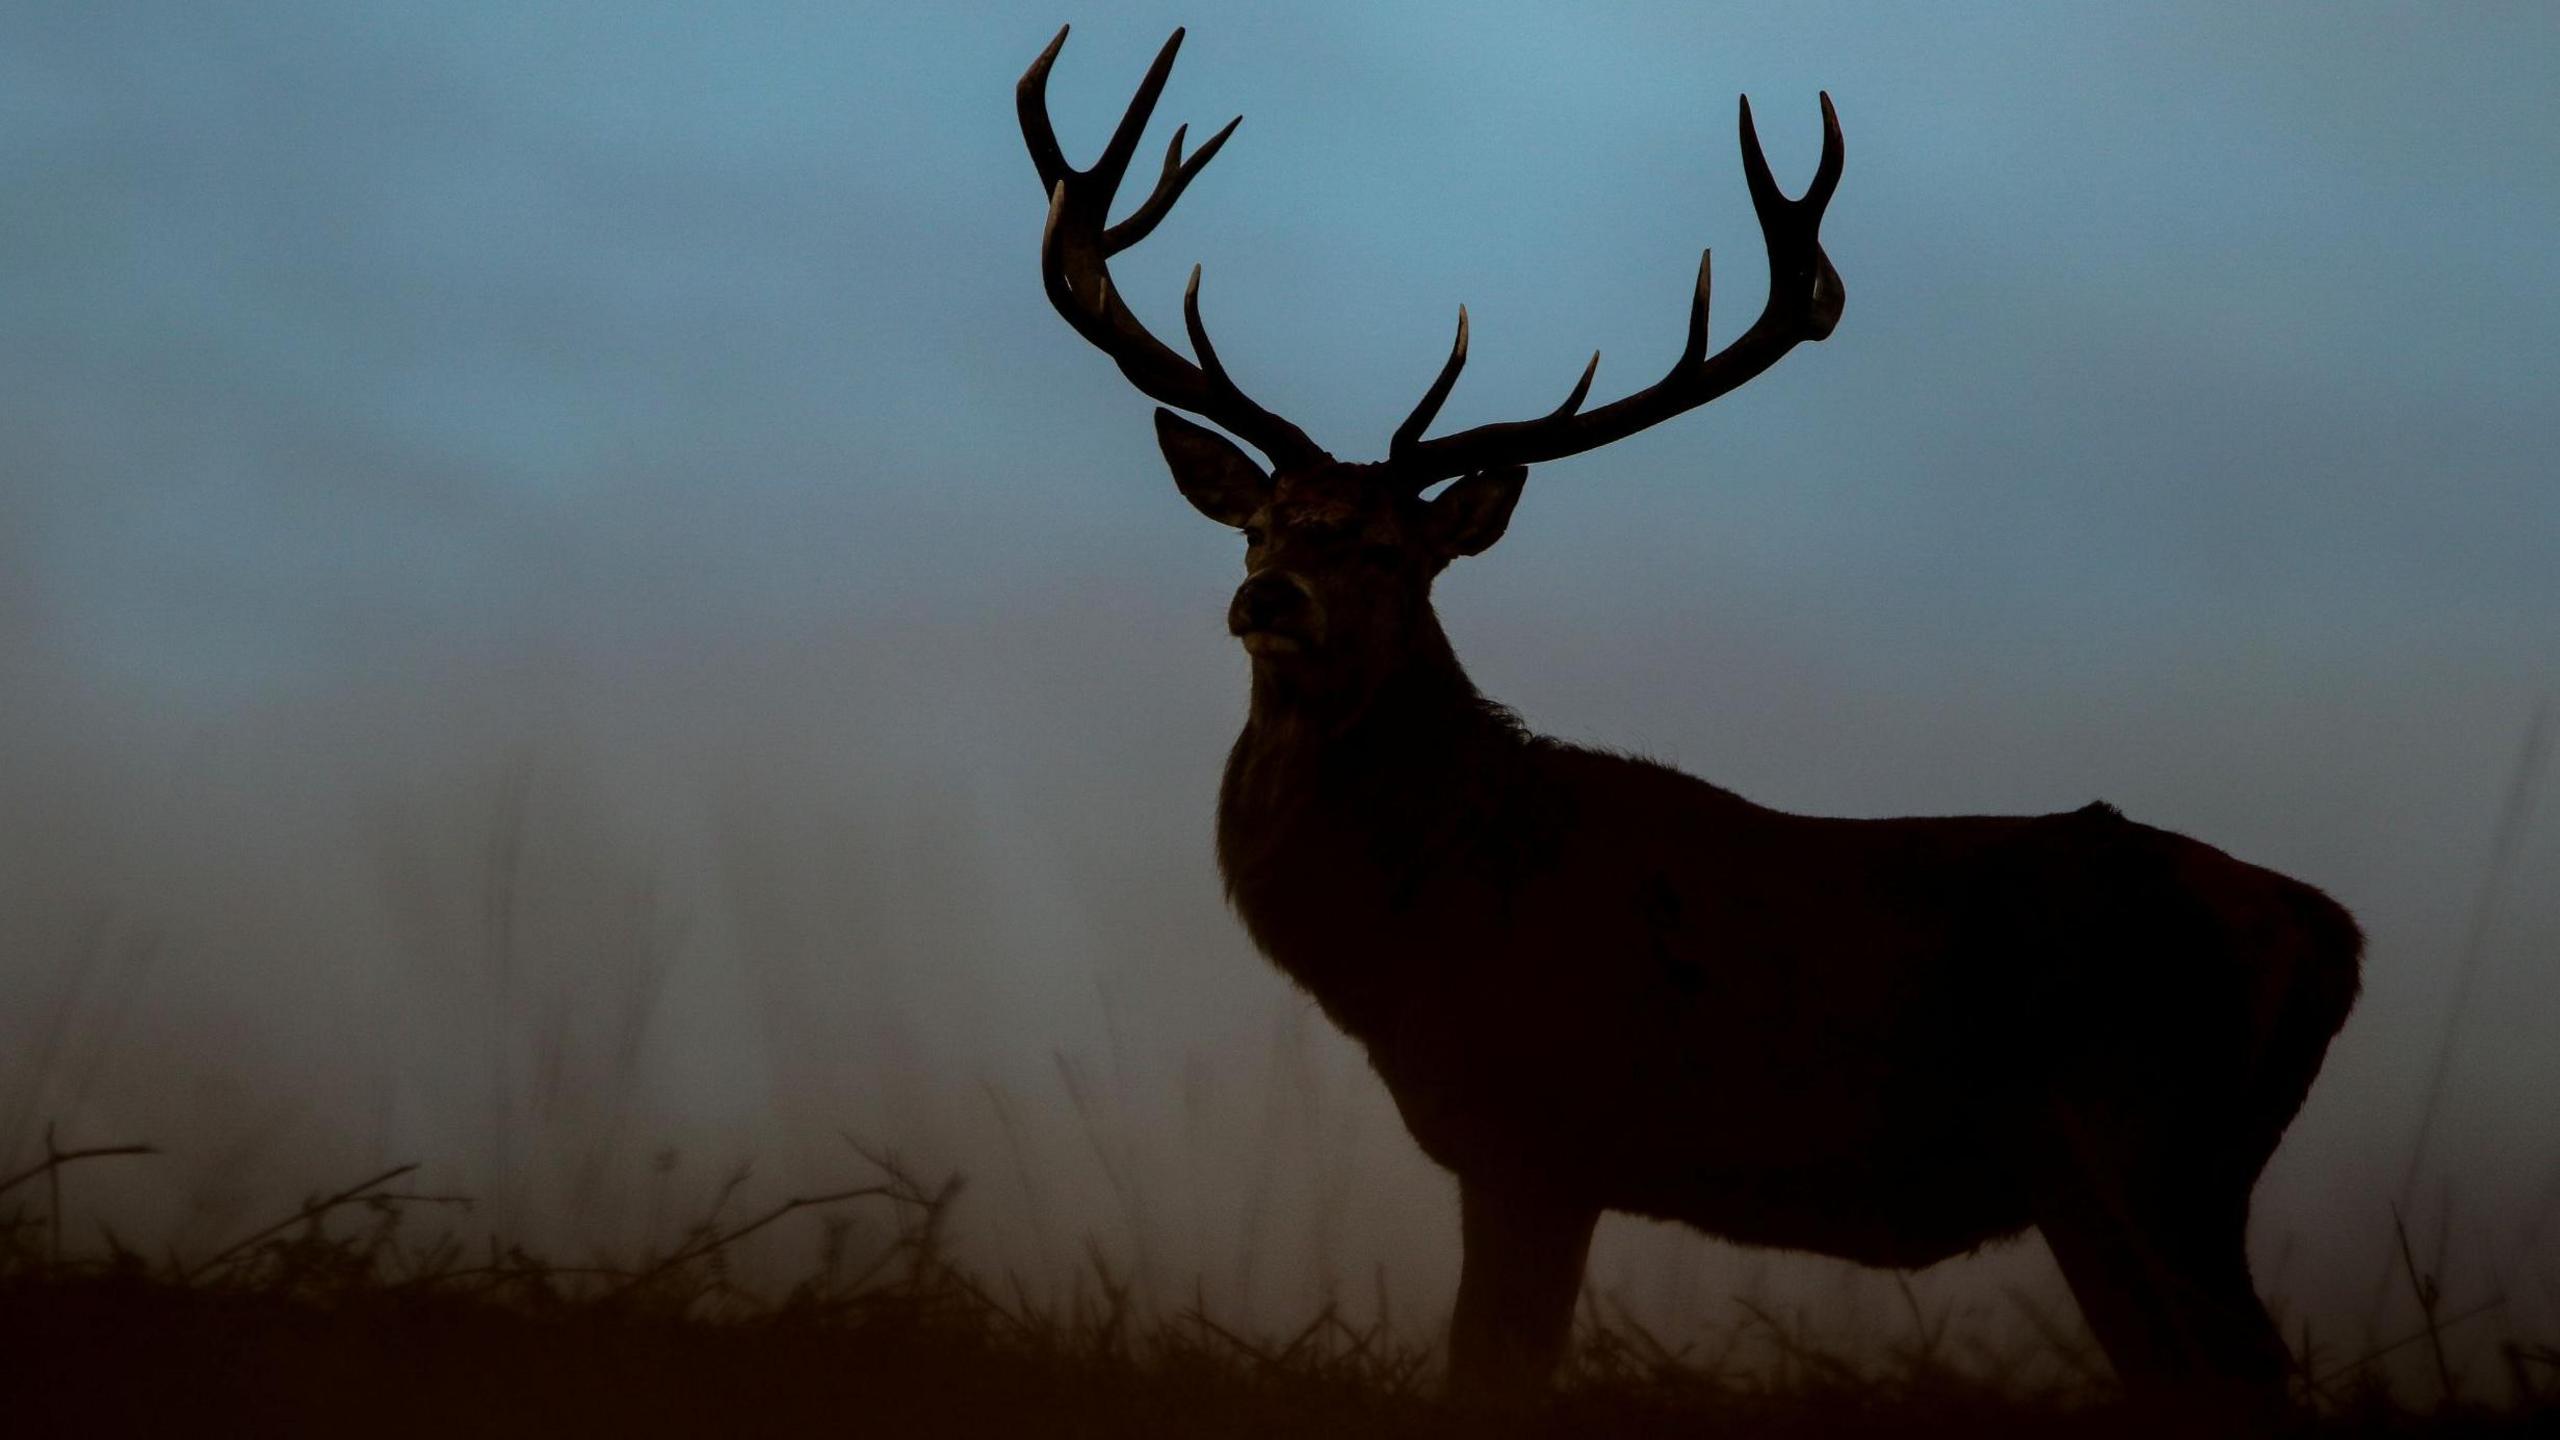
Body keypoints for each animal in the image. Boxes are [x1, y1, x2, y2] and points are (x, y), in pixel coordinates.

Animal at [1017, 26, 2362, 1413]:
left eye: (1390, 550)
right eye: (1258, 526)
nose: (1269, 597)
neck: (1429, 923)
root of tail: (2329, 933)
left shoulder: (1540, 1137)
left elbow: (1490, 1377)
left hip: (2151, 1144)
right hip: (2101, 1185)